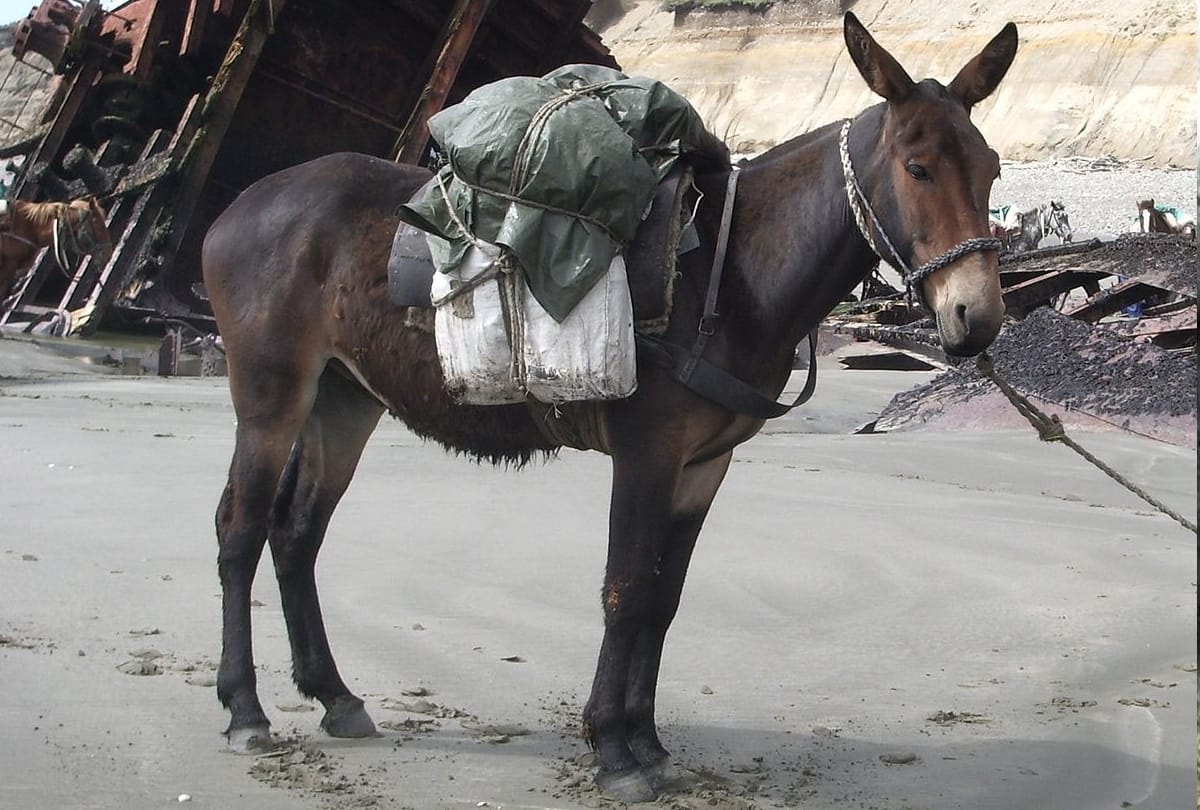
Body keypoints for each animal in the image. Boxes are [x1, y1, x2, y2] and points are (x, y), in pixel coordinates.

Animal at [202, 13, 1017, 803]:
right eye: (917, 168)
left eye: (992, 170)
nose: (976, 318)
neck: (730, 272)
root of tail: (240, 205)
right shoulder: (647, 453)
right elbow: (624, 591)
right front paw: (614, 751)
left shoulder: (704, 465)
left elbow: (663, 598)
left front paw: (648, 742)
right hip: (272, 395)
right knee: (241, 529)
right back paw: (246, 711)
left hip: (345, 398)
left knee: (297, 532)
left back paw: (334, 697)